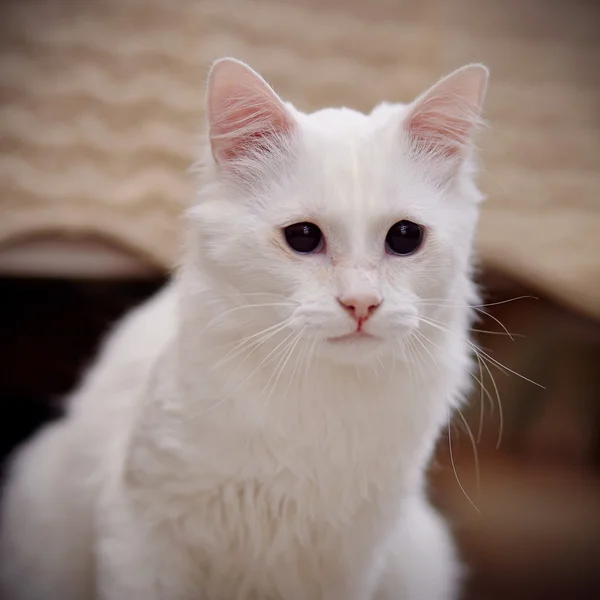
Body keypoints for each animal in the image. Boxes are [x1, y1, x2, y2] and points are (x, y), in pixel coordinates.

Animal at [0, 57, 488, 600]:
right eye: (303, 237)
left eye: (404, 237)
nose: (361, 302)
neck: (320, 401)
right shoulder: (142, 533)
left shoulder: (349, 560)